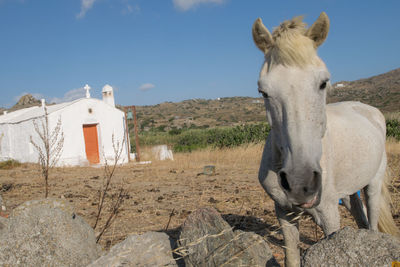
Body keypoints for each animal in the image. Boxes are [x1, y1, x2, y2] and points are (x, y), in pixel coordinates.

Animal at [252, 12, 398, 266]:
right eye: (263, 91)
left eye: (323, 83)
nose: (300, 183)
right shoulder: (284, 213)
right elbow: (292, 257)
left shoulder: (329, 216)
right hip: (349, 192)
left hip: (373, 184)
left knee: (371, 222)